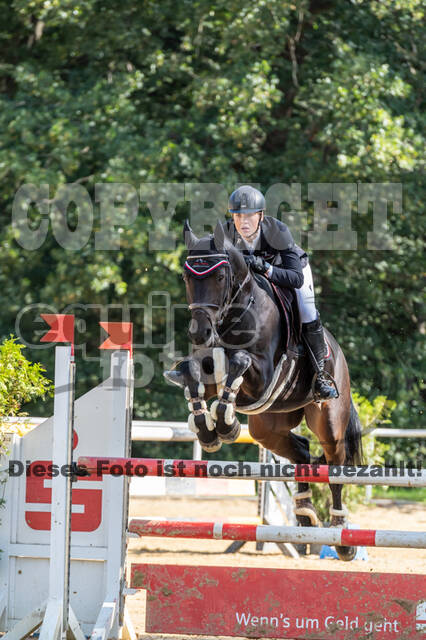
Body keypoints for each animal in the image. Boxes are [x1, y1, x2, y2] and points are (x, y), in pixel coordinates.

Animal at [165, 221, 364, 560]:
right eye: (186, 277)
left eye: (220, 277)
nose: (199, 333)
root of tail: (338, 354)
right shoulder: (213, 371)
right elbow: (193, 371)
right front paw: (208, 429)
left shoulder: (261, 378)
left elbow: (239, 362)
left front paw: (225, 423)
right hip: (268, 426)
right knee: (302, 452)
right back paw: (305, 514)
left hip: (329, 422)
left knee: (334, 467)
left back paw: (341, 535)